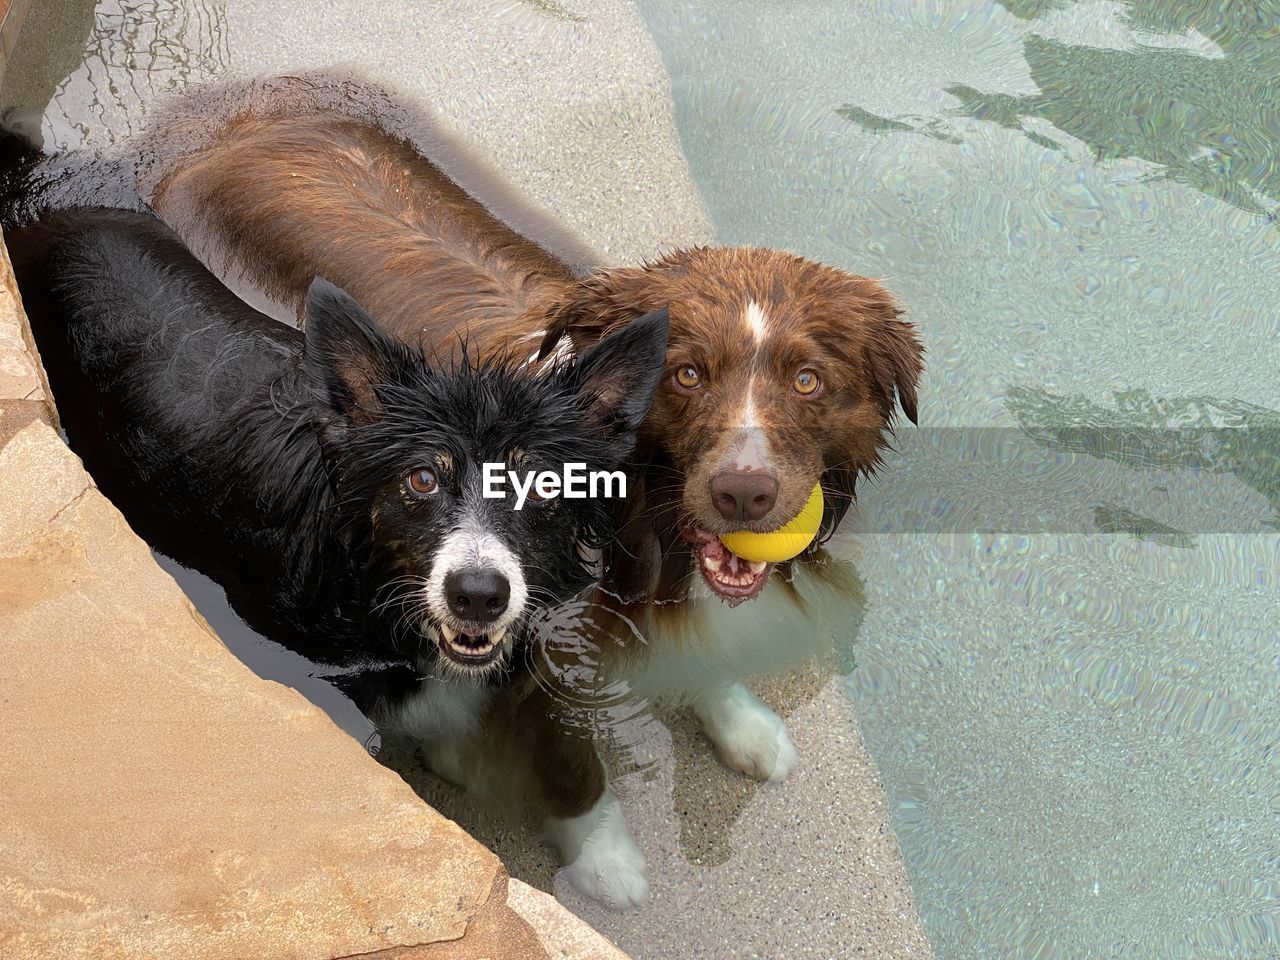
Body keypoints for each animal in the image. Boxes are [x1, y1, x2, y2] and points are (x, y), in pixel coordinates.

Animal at [10, 207, 670, 906]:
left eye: (542, 484)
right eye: (421, 479)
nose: (478, 595)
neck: (373, 586)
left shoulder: (528, 636)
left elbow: (570, 749)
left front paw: (606, 855)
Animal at [145, 96, 921, 911]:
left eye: (807, 380)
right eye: (686, 374)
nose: (746, 491)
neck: (632, 530)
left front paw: (742, 723)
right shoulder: (537, 654)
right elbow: (575, 765)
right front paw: (604, 856)